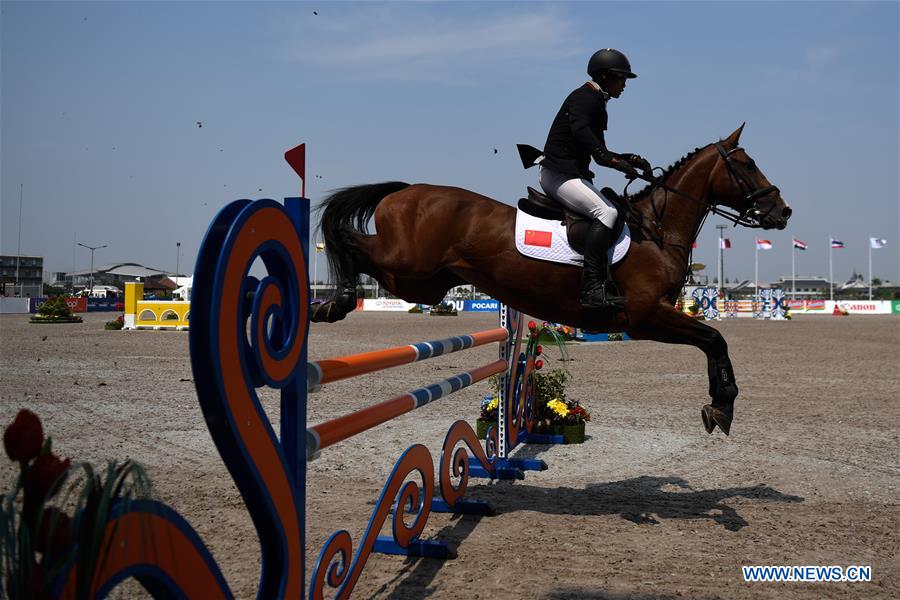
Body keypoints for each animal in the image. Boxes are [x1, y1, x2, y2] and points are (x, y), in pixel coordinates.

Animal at [312, 127, 792, 436]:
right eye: (748, 165)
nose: (782, 211)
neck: (656, 229)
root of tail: (406, 190)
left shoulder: (655, 317)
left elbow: (713, 341)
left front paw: (720, 406)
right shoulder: (646, 317)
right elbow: (714, 339)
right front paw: (722, 405)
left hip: (422, 282)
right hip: (408, 264)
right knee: (348, 239)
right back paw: (335, 302)